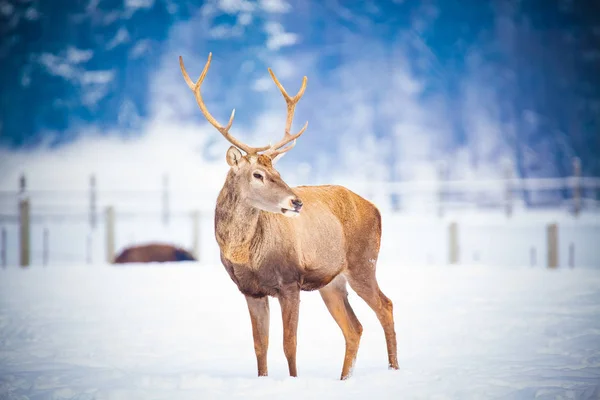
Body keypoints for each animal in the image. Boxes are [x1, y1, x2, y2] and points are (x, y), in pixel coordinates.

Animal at [180, 53, 400, 382]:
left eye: (278, 171)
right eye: (258, 174)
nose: (296, 202)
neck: (247, 256)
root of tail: (376, 208)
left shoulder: (290, 282)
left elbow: (289, 344)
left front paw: (293, 380)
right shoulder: (250, 291)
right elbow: (260, 345)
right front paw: (263, 378)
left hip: (363, 262)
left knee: (385, 306)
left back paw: (393, 369)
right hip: (331, 281)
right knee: (354, 327)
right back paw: (344, 378)